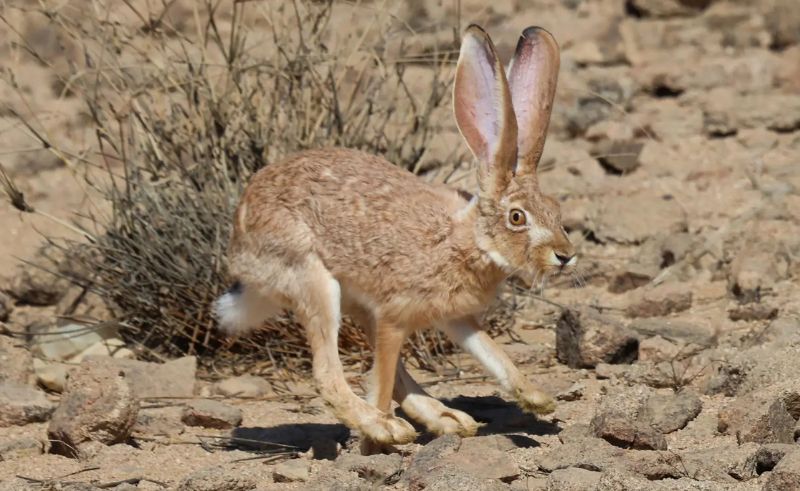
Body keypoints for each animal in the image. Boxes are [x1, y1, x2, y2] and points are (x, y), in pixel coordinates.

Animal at [215, 24, 576, 447]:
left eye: (555, 209)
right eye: (517, 217)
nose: (565, 255)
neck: (465, 241)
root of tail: (239, 244)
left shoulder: (454, 316)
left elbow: (491, 352)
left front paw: (537, 398)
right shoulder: (393, 314)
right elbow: (384, 375)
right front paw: (374, 442)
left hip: (352, 301)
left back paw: (446, 418)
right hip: (313, 280)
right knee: (328, 373)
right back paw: (384, 426)